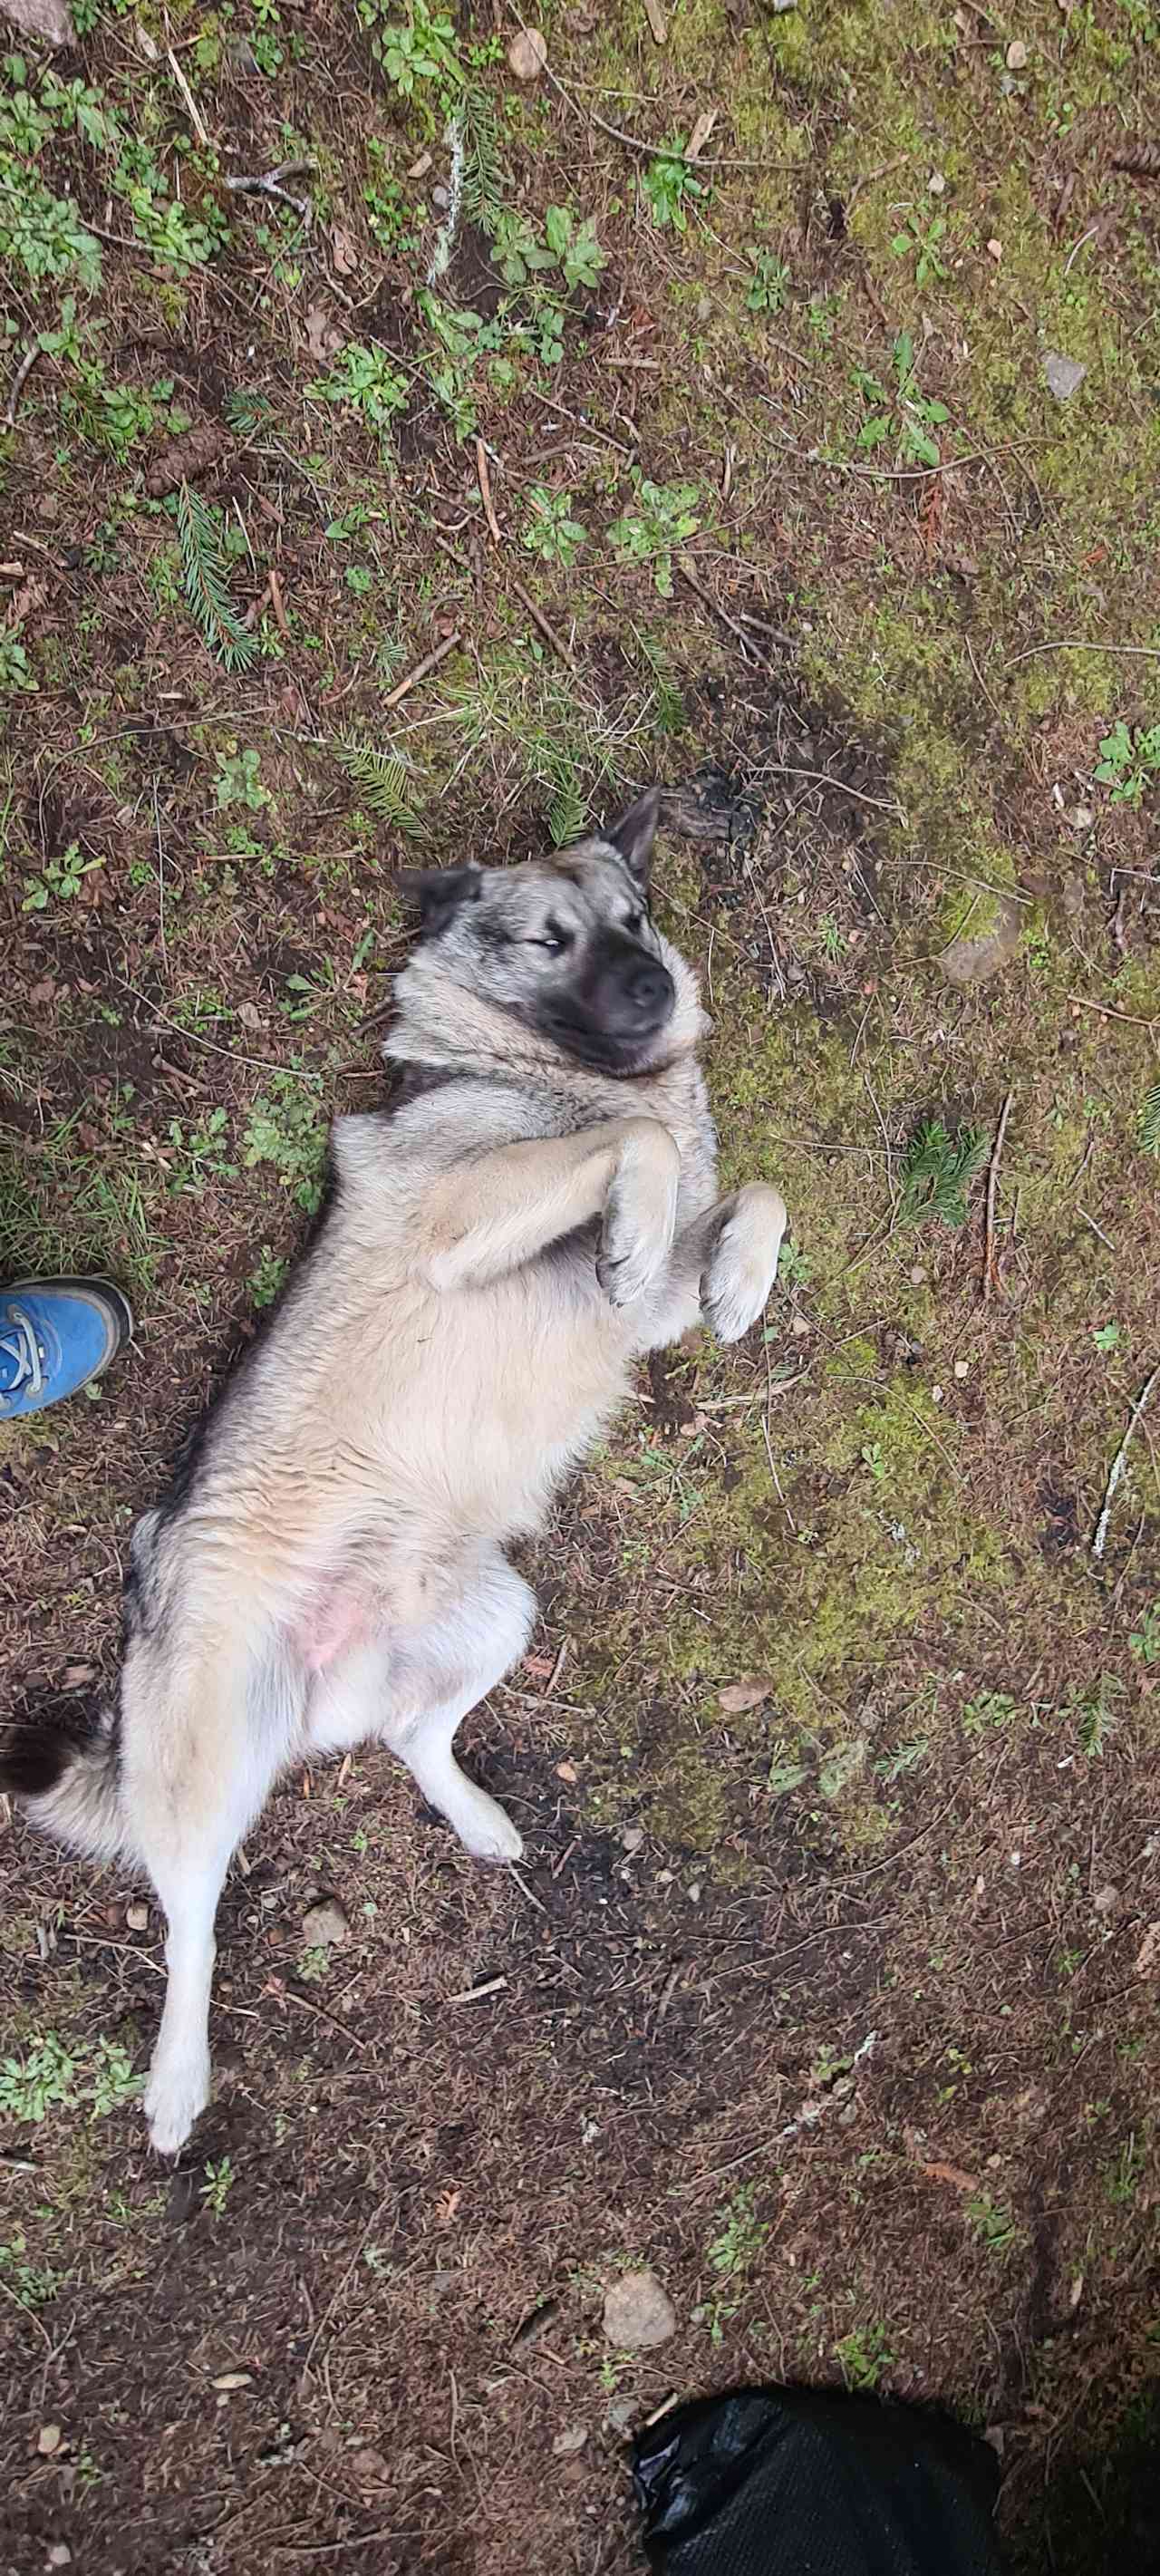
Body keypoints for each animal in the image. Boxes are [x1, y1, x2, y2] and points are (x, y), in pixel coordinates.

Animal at [2, 788, 788, 2153]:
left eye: (636, 916)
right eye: (550, 939)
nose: (652, 982)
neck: (531, 1069)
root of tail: (339, 1674)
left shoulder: (647, 1302)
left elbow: (754, 1193)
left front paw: (740, 1278)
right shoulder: (468, 1223)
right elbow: (636, 1139)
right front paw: (643, 1205)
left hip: (497, 1610)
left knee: (418, 1735)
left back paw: (477, 1816)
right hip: (210, 1757)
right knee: (190, 1920)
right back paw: (176, 2082)